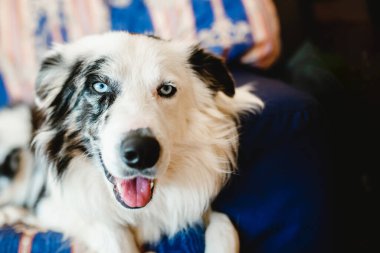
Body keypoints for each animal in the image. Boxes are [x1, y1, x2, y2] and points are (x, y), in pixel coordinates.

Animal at [0, 32, 262, 253]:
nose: (142, 152)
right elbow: (111, 229)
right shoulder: (53, 206)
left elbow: (223, 223)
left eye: (167, 89)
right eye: (99, 86)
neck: (141, 211)